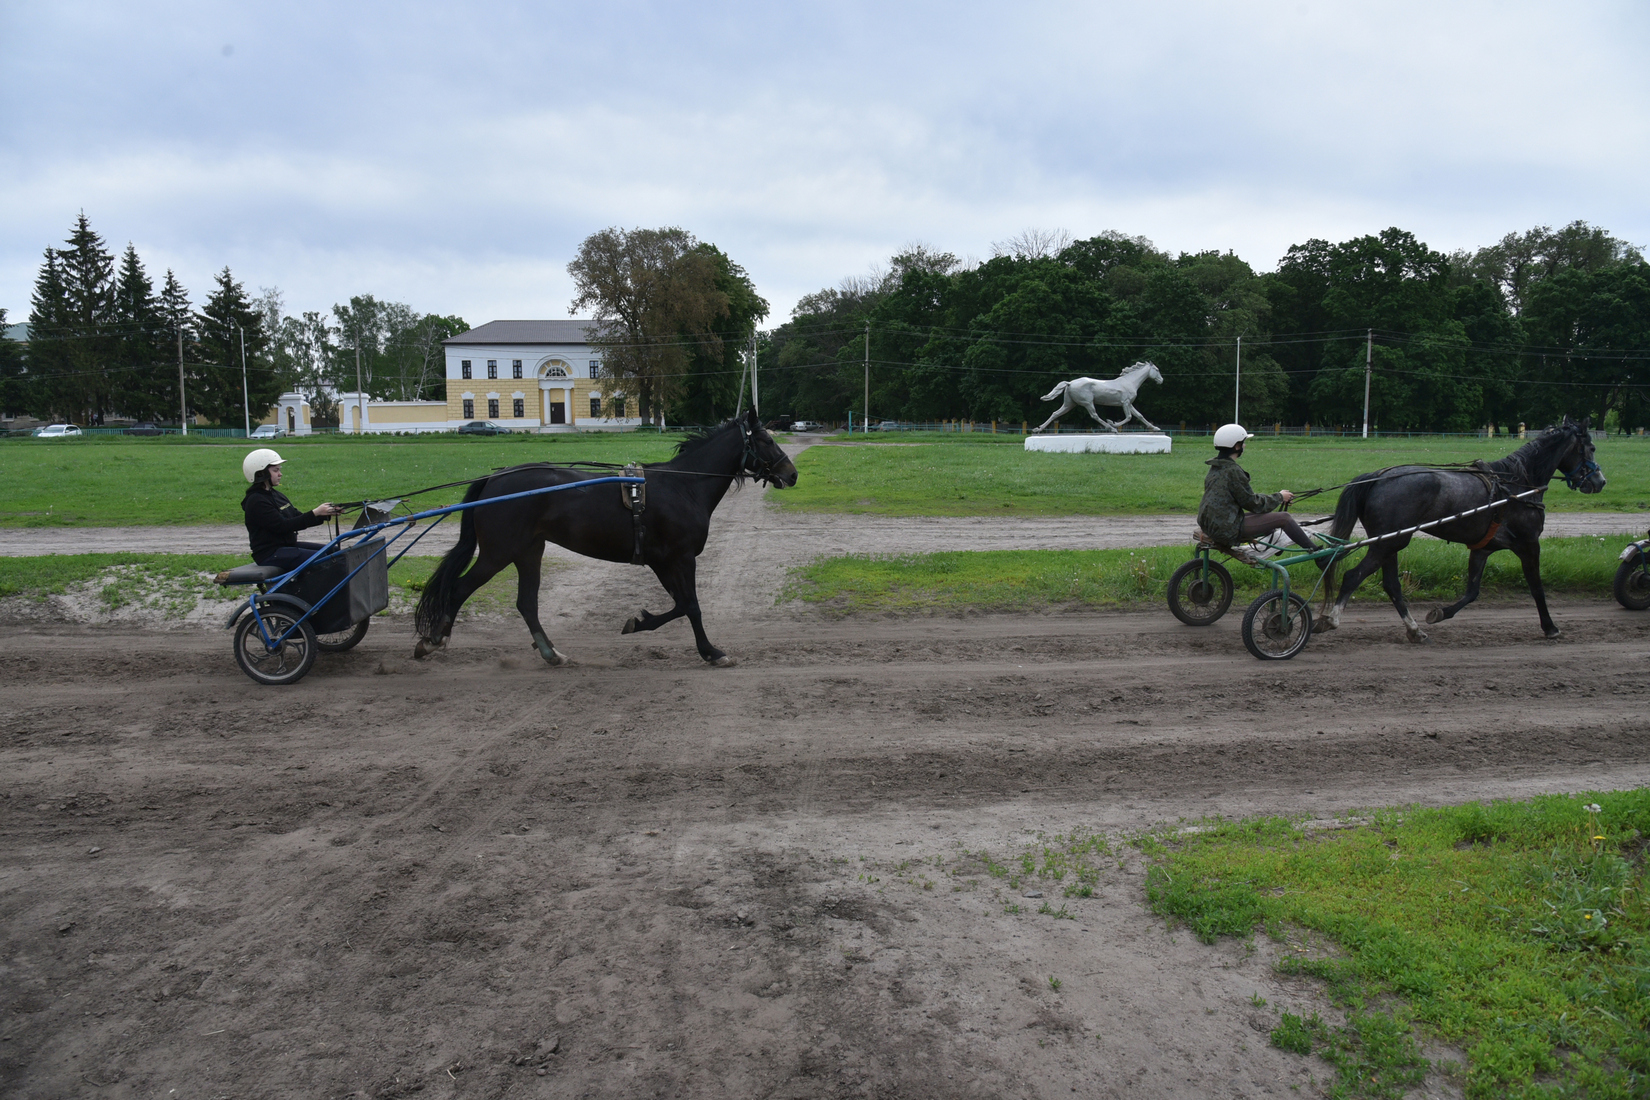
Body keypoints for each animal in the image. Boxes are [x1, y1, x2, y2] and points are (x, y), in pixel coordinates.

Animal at [412, 410, 798, 666]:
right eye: (767, 440)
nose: (791, 474)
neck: (683, 486)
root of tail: (495, 479)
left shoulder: (662, 561)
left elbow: (680, 604)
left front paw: (639, 622)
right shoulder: (680, 557)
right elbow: (691, 606)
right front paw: (711, 651)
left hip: (528, 551)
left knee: (526, 604)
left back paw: (551, 653)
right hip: (498, 552)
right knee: (459, 590)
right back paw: (433, 641)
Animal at [1320, 422, 1603, 646]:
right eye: (1590, 447)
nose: (1600, 481)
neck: (1516, 486)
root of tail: (1377, 477)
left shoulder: (1482, 548)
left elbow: (1472, 591)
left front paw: (1440, 613)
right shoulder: (1529, 544)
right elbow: (1536, 588)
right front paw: (1550, 628)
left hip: (1390, 544)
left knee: (1392, 586)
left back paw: (1415, 631)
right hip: (1388, 543)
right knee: (1353, 576)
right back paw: (1330, 620)